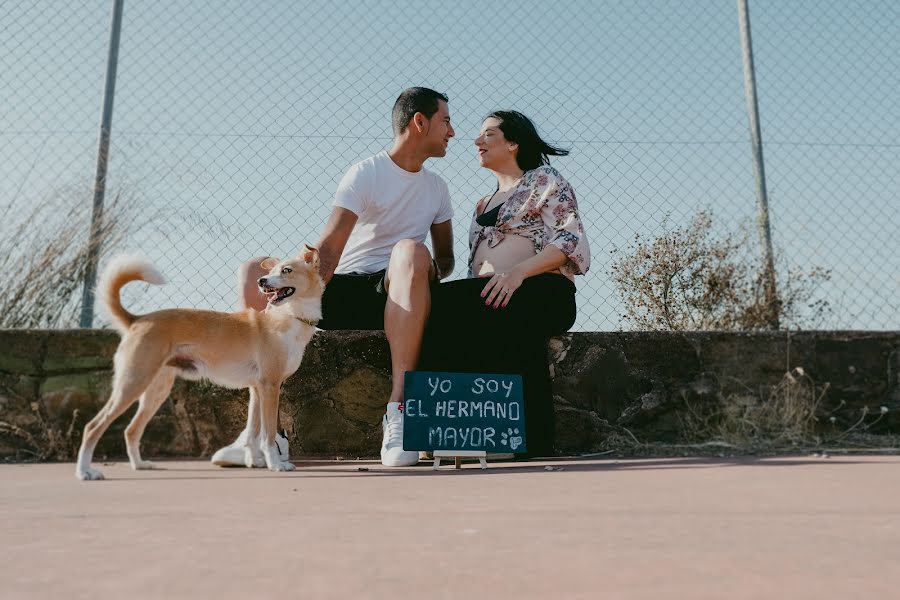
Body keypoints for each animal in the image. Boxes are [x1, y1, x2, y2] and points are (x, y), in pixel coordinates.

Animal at [74, 246, 324, 480]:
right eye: (271, 272)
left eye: (286, 270)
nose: (261, 281)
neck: (289, 317)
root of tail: (138, 319)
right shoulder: (270, 387)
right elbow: (268, 434)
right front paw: (275, 464)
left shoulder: (256, 389)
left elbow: (253, 433)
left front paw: (254, 462)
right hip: (133, 383)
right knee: (92, 427)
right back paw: (85, 472)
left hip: (155, 391)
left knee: (131, 430)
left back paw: (139, 465)